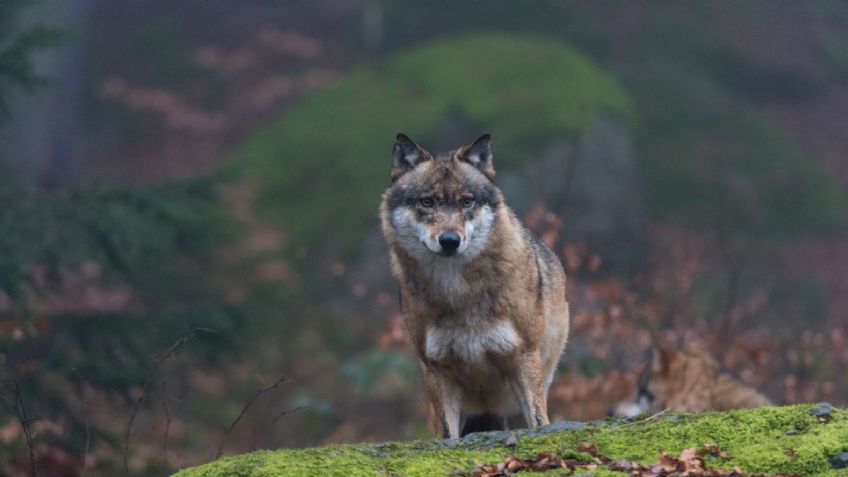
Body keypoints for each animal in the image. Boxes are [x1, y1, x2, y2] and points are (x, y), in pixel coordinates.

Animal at [379, 133, 570, 438]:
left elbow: (539, 421)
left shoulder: (524, 358)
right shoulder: (436, 370)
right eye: (427, 202)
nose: (449, 241)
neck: (458, 293)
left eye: (467, 202)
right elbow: (448, 435)